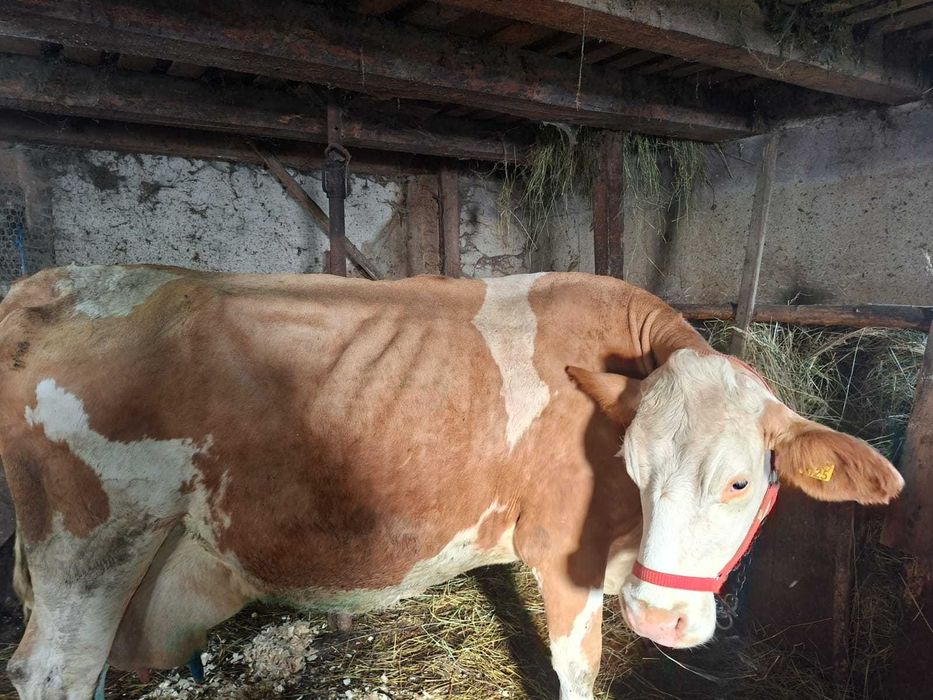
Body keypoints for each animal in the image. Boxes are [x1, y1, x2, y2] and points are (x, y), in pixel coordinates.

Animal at [0, 265, 902, 700]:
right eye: (632, 470)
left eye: (741, 484)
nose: (659, 619)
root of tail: (61, 279)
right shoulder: (560, 554)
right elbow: (577, 672)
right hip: (92, 544)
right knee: (54, 673)